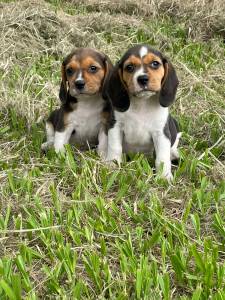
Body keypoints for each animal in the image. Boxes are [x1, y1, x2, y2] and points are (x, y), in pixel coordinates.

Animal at [103, 44, 182, 180]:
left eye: (155, 63)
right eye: (129, 67)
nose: (143, 79)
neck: (142, 103)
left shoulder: (161, 133)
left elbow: (162, 157)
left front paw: (164, 177)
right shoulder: (115, 125)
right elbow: (114, 147)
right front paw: (112, 166)